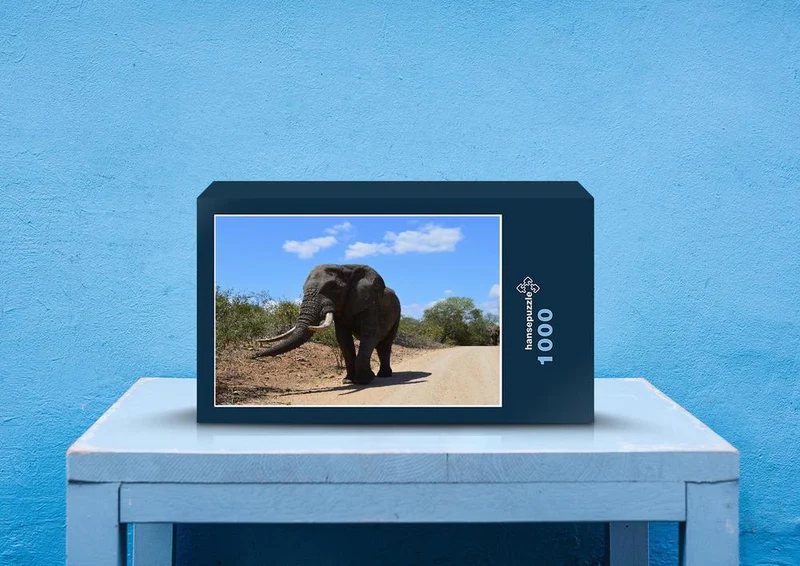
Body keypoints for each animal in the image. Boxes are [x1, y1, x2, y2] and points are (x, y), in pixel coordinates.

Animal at [254, 264, 401, 385]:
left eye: (333, 287)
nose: (253, 355)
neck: (345, 268)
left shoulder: (370, 304)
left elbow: (370, 334)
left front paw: (364, 380)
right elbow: (343, 339)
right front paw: (348, 381)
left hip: (397, 314)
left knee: (385, 344)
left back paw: (384, 375)